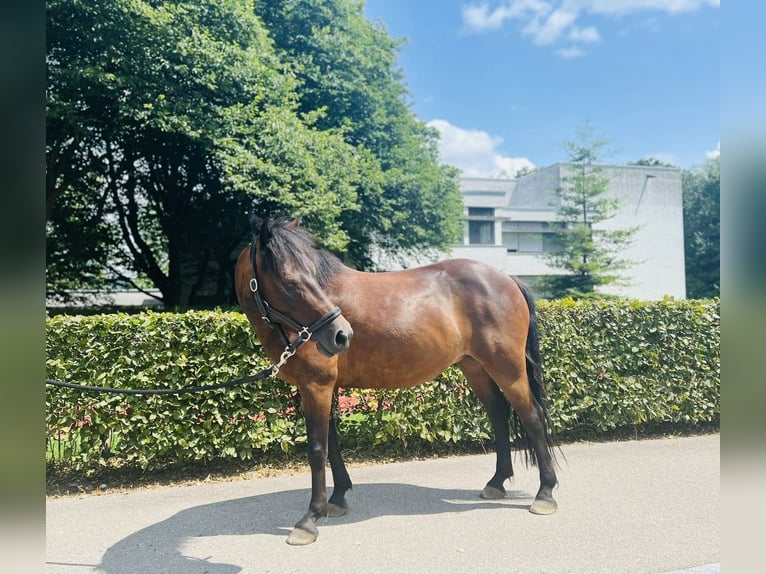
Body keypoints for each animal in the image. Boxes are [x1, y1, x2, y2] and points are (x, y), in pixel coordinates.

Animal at [234, 218, 560, 548]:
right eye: (289, 281)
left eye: (310, 276)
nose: (342, 335)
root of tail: (507, 279)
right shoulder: (324, 388)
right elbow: (332, 442)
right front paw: (337, 498)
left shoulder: (316, 385)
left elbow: (317, 448)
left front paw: (310, 519)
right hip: (475, 367)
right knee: (499, 415)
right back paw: (496, 482)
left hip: (508, 368)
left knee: (532, 417)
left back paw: (545, 493)